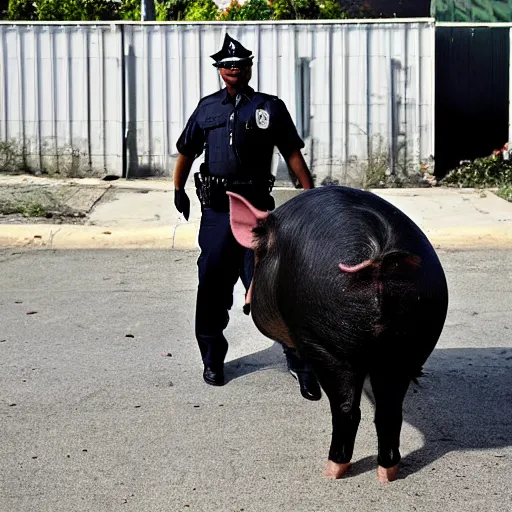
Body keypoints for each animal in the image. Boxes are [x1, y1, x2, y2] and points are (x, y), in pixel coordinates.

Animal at [228, 186, 448, 482]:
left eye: (257, 257)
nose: (246, 303)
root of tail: (379, 259)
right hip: (408, 343)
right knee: (389, 411)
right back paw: (387, 475)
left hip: (328, 344)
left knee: (346, 410)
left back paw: (331, 471)